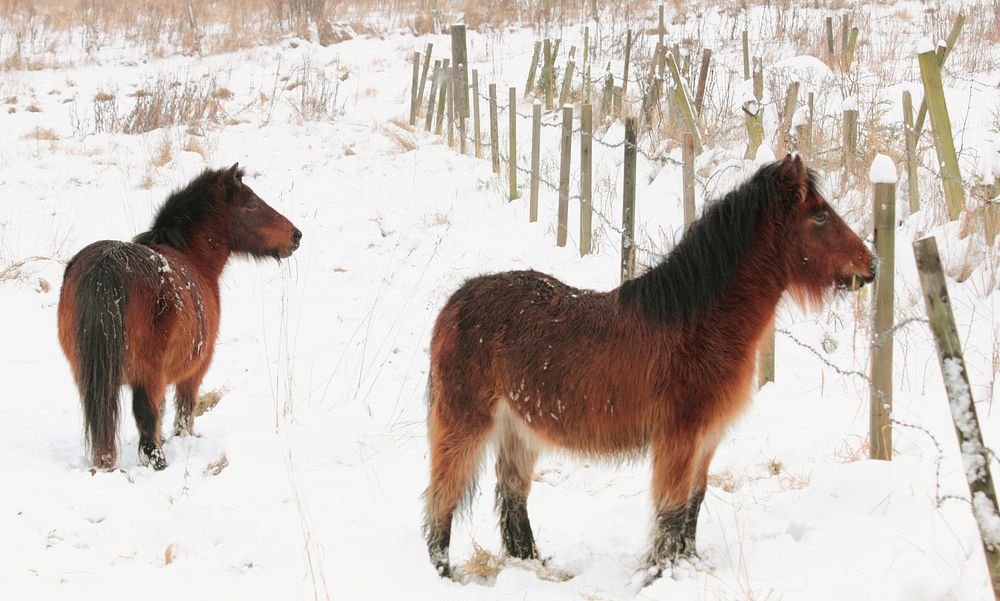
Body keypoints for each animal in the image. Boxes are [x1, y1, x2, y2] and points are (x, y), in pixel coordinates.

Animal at [57, 164, 300, 468]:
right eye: (251, 204)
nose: (295, 235)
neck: (192, 257)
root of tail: (106, 266)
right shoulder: (195, 369)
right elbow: (182, 411)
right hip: (146, 375)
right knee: (146, 424)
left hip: (88, 375)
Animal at [422, 154, 876, 580]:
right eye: (820, 216)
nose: (871, 265)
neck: (699, 322)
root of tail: (455, 301)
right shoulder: (680, 436)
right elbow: (671, 510)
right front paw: (662, 572)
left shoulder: (706, 439)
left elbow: (694, 504)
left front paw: (687, 565)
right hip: (466, 423)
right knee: (442, 494)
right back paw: (444, 570)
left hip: (519, 429)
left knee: (513, 498)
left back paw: (534, 565)